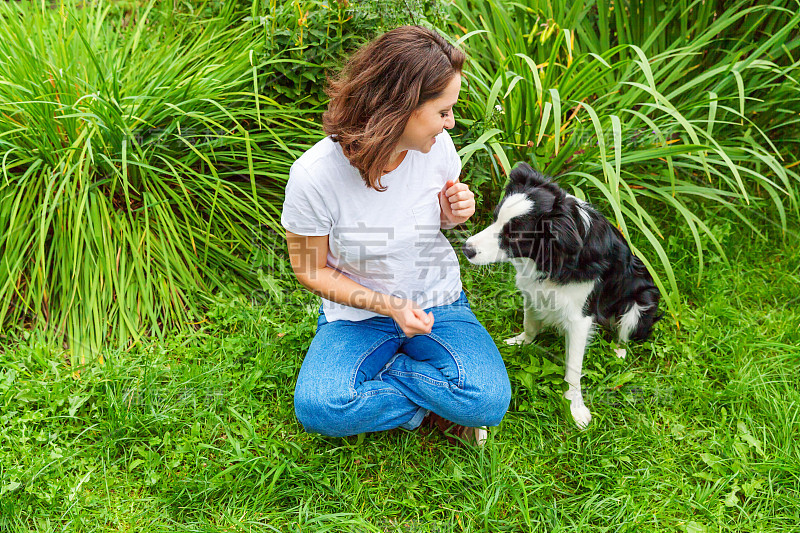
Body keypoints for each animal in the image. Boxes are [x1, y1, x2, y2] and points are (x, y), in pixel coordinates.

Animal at [462, 162, 664, 428]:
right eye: (495, 219)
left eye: (514, 236)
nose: (466, 249)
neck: (554, 256)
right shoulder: (532, 290)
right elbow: (529, 324)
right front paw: (521, 342)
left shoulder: (580, 318)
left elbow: (573, 368)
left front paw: (575, 407)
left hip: (641, 302)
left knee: (625, 333)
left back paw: (618, 351)